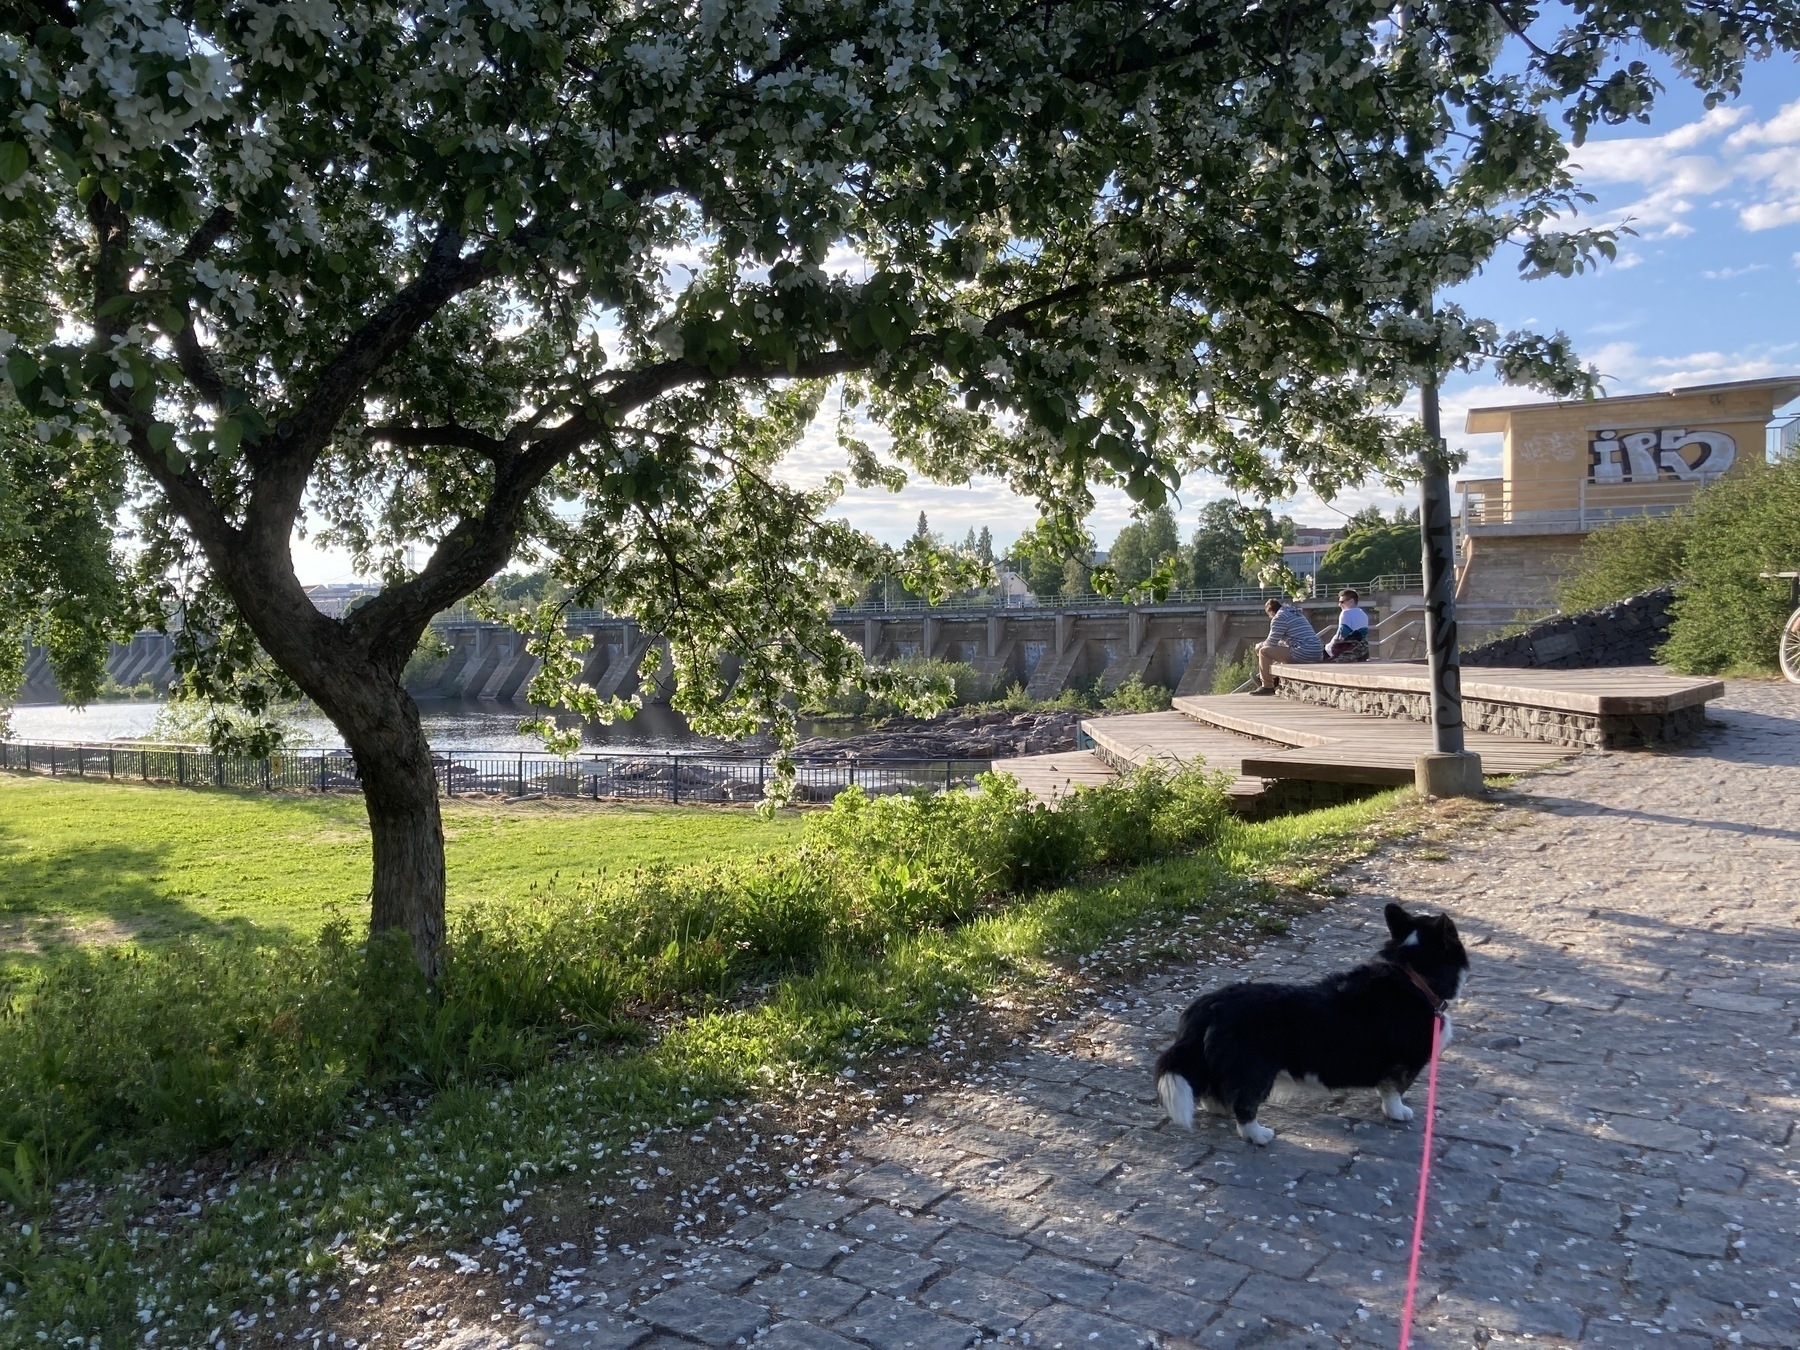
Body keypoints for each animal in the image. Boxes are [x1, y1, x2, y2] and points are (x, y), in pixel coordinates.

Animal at [1152, 903, 1461, 1144]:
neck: (1413, 974)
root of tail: (1209, 1005)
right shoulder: (1406, 1064)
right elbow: (1394, 1091)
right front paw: (1399, 1113)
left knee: (1212, 1091)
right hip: (1256, 1069)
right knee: (1245, 1106)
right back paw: (1259, 1135)